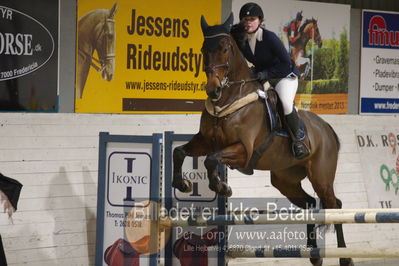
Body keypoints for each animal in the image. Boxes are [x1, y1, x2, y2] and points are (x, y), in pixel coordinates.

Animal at [173, 14, 354, 266]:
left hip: (321, 178)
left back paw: (344, 257)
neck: (229, 98)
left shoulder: (242, 150)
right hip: (285, 180)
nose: (213, 90)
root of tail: (326, 128)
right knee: (310, 203)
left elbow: (211, 160)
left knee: (335, 206)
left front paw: (222, 187)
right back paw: (313, 254)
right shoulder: (205, 141)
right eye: (203, 50)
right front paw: (183, 184)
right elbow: (179, 152)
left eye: (225, 49)